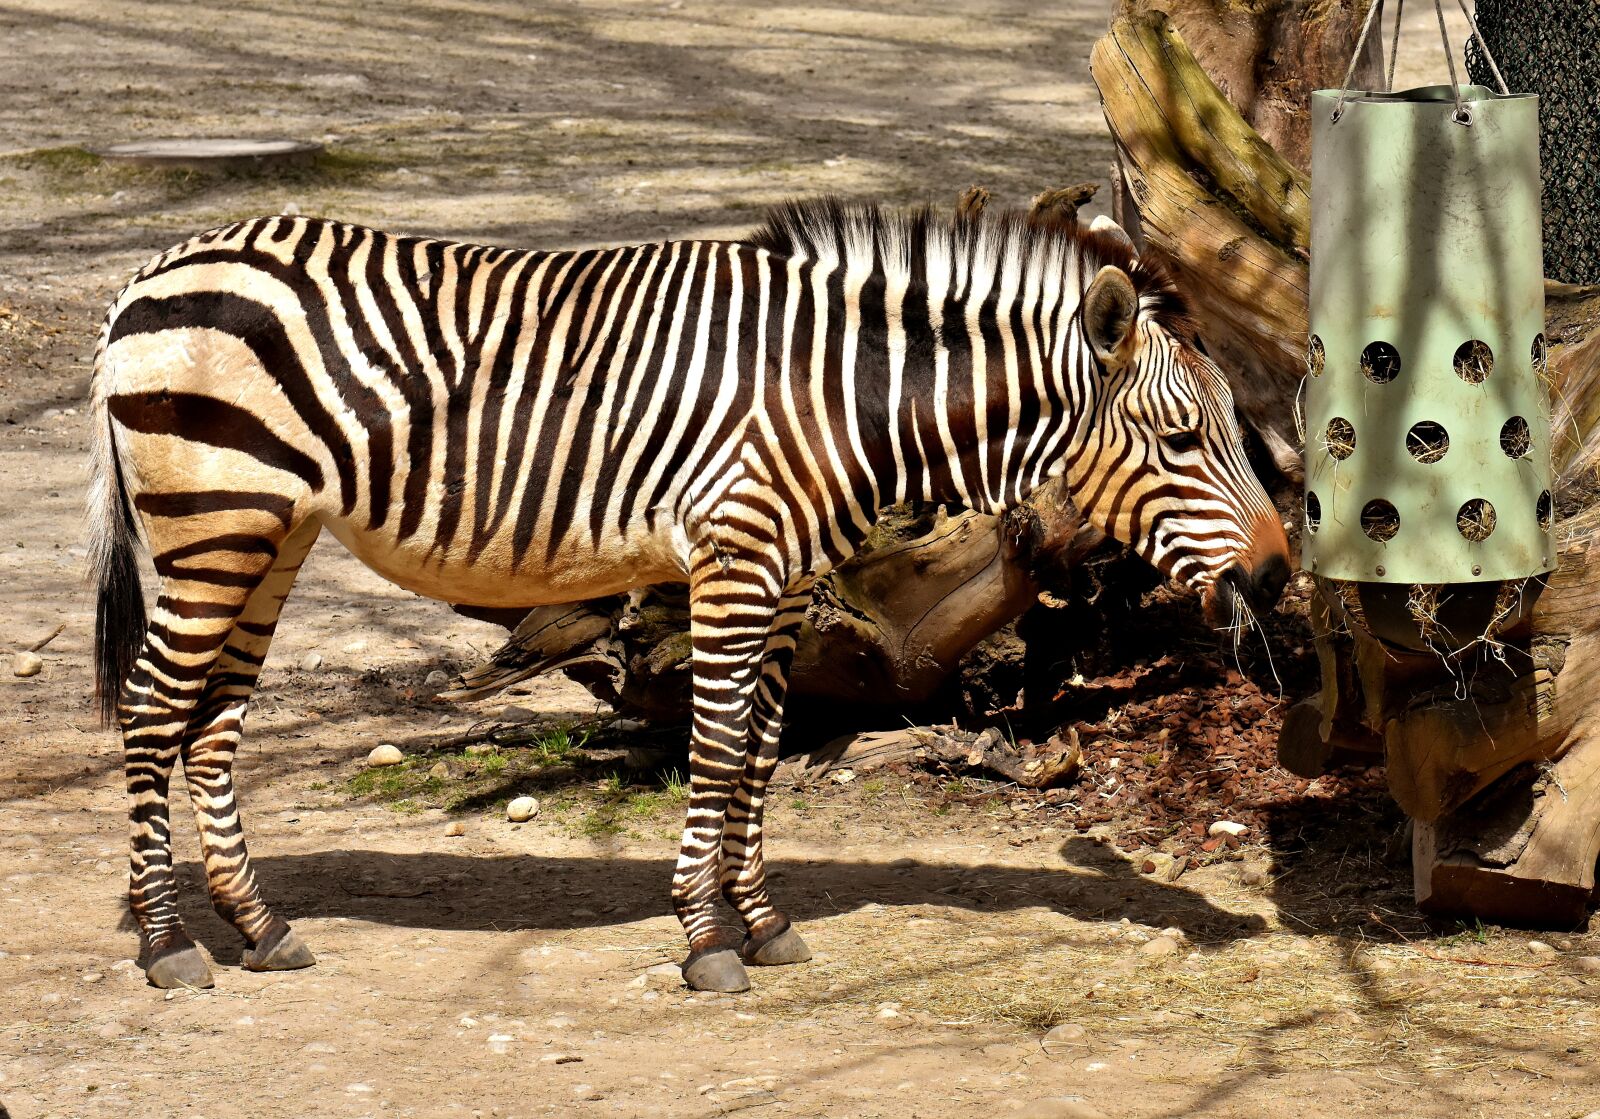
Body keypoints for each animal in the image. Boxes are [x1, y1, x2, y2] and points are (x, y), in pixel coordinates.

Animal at [89, 199, 1291, 994]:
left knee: (214, 725)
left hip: (269, 530)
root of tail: (153, 267)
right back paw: (168, 945)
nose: (1278, 575)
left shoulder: (791, 581)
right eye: (1184, 440)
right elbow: (714, 748)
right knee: (153, 712)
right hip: (214, 516)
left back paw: (259, 928)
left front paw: (761, 923)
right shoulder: (734, 557)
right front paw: (706, 941)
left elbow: (759, 747)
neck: (840, 393)